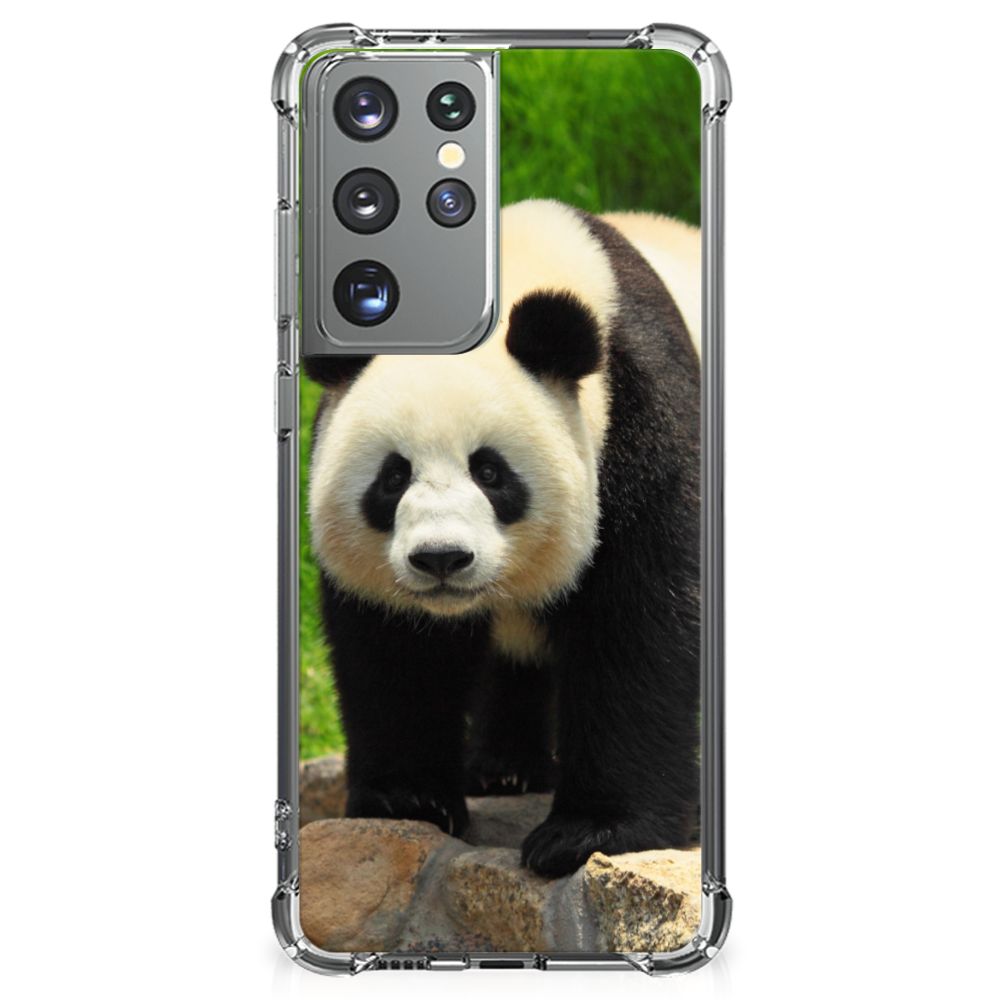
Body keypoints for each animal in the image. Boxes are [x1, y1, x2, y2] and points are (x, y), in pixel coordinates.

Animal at [305, 199, 701, 877]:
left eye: (490, 472)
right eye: (392, 476)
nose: (441, 558)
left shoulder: (644, 424)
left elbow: (641, 627)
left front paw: (588, 832)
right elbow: (395, 651)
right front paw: (408, 800)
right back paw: (504, 769)